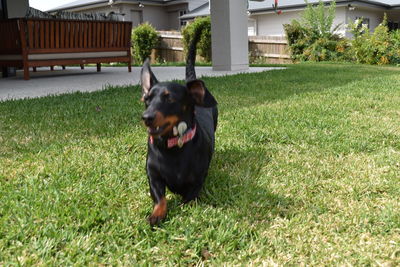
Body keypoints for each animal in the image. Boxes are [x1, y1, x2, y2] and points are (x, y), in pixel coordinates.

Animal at [140, 29, 219, 227]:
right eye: (147, 99)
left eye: (170, 99)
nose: (146, 118)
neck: (173, 147)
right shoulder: (153, 176)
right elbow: (160, 198)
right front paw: (157, 214)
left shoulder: (197, 180)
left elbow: (189, 198)